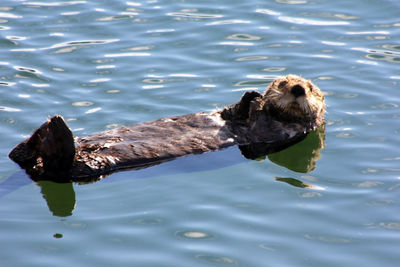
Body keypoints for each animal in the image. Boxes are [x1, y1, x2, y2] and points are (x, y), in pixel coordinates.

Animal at [8, 74, 324, 183]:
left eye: (312, 89)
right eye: (283, 82)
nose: (298, 88)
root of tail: (32, 168)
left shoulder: (278, 137)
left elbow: (257, 145)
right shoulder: (230, 115)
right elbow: (232, 111)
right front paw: (252, 96)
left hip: (86, 167)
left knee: (57, 167)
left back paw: (56, 132)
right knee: (17, 155)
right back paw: (45, 130)